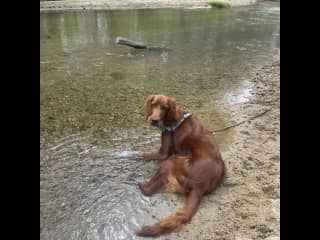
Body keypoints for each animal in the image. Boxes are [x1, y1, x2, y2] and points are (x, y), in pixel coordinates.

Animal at [135, 94, 225, 236]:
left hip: (170, 162)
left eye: (164, 108)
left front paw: (131, 155)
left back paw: (140, 184)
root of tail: (199, 187)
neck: (175, 121)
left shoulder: (163, 154)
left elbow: (143, 154)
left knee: (148, 190)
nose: (154, 120)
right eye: (153, 104)